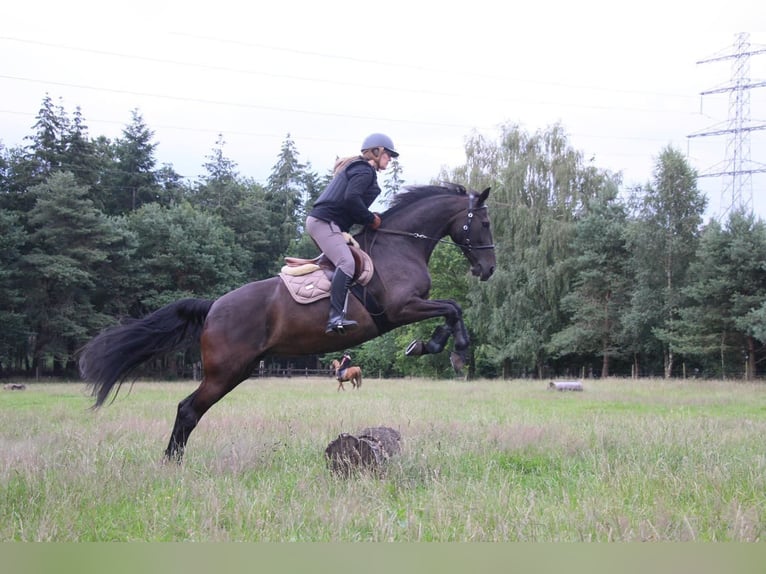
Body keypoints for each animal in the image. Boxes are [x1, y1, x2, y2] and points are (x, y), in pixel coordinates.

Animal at [79, 184, 498, 464]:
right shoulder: (402, 308)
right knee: (187, 410)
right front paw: (452, 351)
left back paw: (173, 460)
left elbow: (452, 308)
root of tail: (213, 306)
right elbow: (453, 308)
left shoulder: (410, 309)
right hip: (225, 371)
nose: (488, 269)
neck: (401, 246)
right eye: (485, 222)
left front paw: (435, 346)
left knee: (189, 408)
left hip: (241, 369)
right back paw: (172, 462)